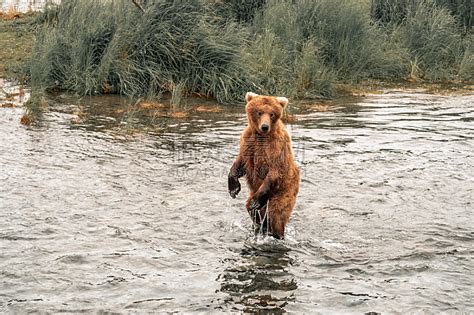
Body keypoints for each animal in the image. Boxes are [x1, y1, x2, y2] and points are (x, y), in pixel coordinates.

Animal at [229, 91, 300, 239]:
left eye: (272, 113)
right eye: (259, 112)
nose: (265, 126)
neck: (261, 136)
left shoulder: (276, 147)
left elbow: (274, 171)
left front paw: (255, 201)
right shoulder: (248, 143)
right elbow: (241, 163)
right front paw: (233, 188)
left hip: (283, 192)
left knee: (276, 214)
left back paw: (275, 233)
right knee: (253, 211)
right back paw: (260, 225)